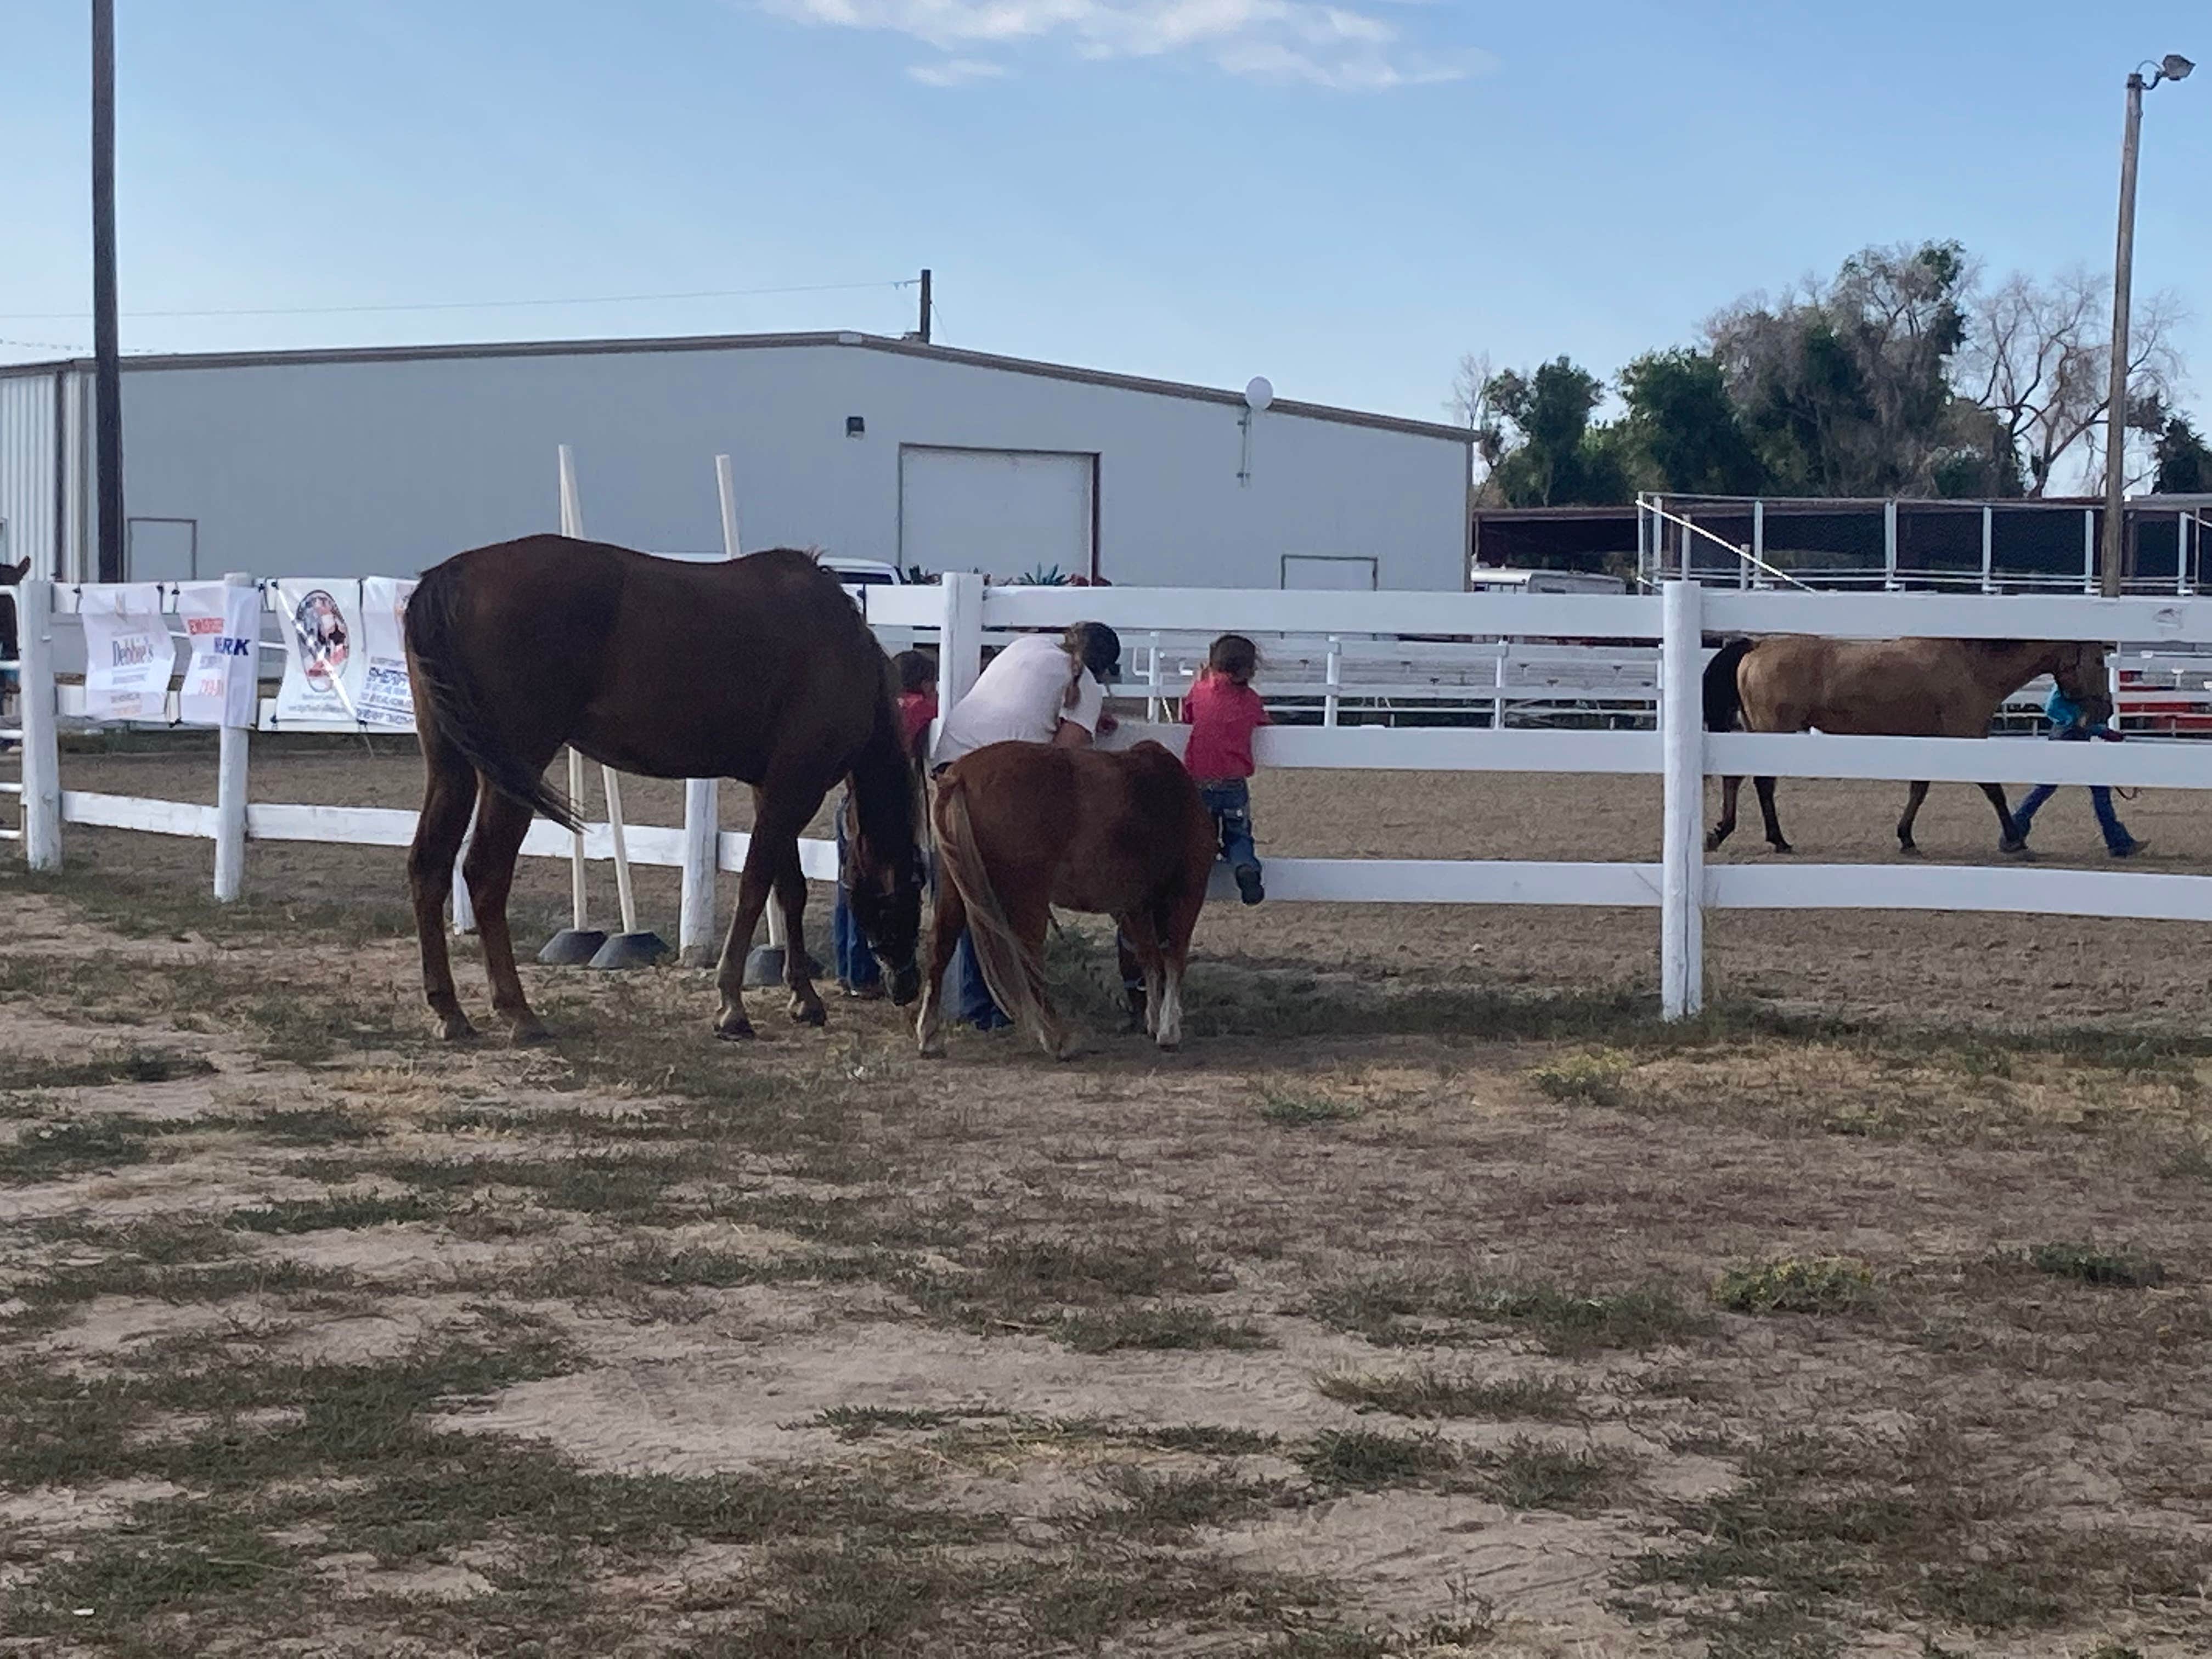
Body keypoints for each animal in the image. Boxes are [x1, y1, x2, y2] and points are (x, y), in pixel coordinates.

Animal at [407, 539, 924, 1044]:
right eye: (917, 886)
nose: (907, 985)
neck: (840, 644)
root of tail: (448, 577)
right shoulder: (796, 786)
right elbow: (755, 886)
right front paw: (732, 1005)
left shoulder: (776, 788)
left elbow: (788, 889)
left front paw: (804, 998)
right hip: (514, 770)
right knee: (485, 873)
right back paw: (519, 1012)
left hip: (453, 767)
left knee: (429, 866)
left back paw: (449, 1011)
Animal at [920, 743, 1221, 1066]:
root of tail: (960, 775)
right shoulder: (1186, 893)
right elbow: (1174, 958)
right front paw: (1168, 1030)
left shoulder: (1135, 906)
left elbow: (1150, 958)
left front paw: (1154, 1022)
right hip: (1027, 896)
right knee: (1028, 959)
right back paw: (1057, 1040)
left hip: (954, 886)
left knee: (941, 947)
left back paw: (930, 1037)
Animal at [1699, 628, 2114, 849]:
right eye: (2097, 661)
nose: (2106, 709)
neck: (1972, 667)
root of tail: (1757, 646)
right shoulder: (1967, 736)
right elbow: (1993, 790)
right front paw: (2015, 840)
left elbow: (1919, 788)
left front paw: (1906, 837)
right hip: (1773, 730)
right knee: (1762, 783)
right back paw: (1775, 839)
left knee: (1737, 779)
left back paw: (1725, 832)